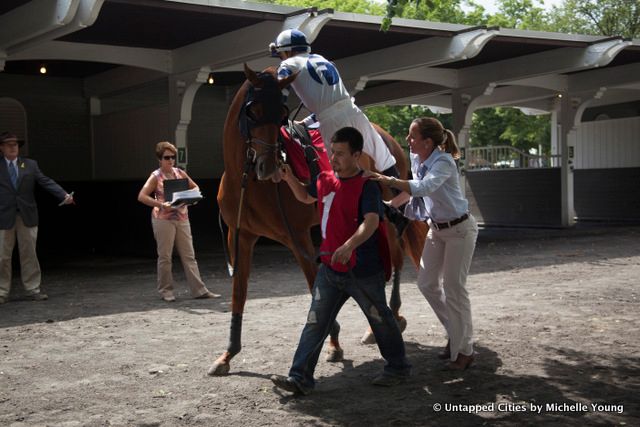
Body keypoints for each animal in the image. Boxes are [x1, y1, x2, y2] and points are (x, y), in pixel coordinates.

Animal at [209, 65, 424, 376]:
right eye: (253, 110)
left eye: (282, 112)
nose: (269, 166)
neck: (247, 182)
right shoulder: (241, 237)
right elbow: (239, 294)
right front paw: (228, 354)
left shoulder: (297, 236)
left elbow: (315, 287)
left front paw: (332, 342)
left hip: (383, 215)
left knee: (395, 259)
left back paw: (392, 315)